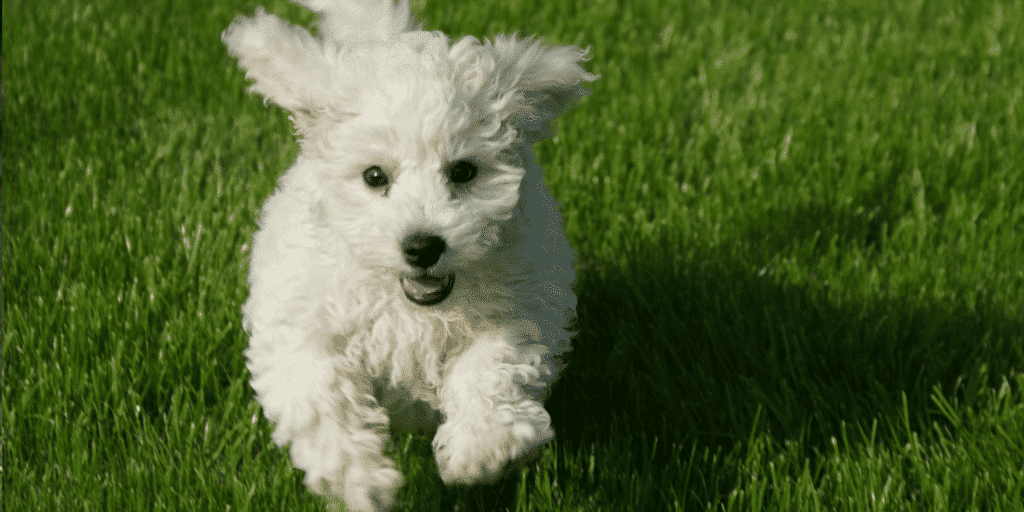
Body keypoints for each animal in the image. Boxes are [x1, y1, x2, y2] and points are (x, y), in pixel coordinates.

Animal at [223, 2, 593, 509]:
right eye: (375, 176)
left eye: (463, 171)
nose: (422, 246)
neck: (412, 310)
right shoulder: (300, 323)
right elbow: (322, 396)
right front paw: (361, 483)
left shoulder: (524, 303)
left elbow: (491, 365)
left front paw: (479, 450)